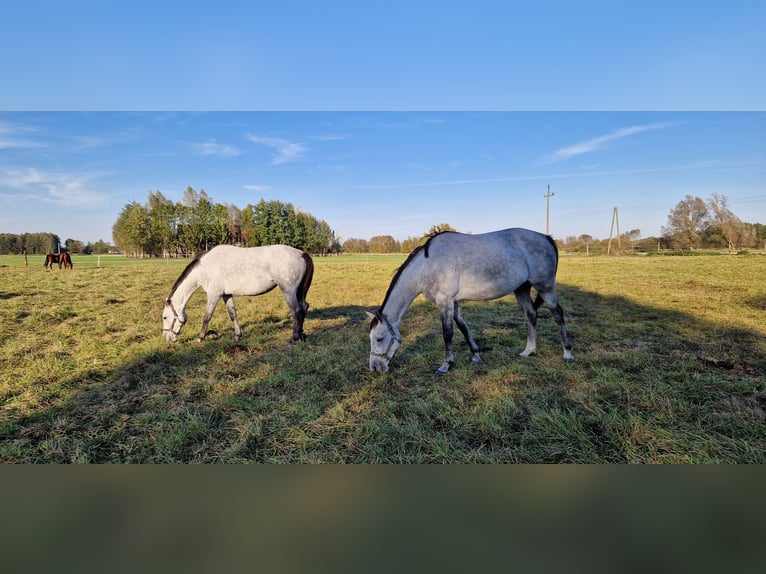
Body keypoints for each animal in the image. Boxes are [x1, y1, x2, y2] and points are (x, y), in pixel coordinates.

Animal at [165, 245, 316, 344]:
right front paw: (237, 336)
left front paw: (200, 338)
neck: (206, 267)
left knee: (297, 312)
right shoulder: (226, 294)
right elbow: (233, 315)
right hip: (298, 292)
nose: (167, 338)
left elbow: (207, 317)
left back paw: (294, 338)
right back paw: (301, 335)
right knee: (304, 308)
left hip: (288, 291)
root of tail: (301, 254)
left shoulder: (214, 295)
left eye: (165, 317)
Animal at [368, 230, 576, 378]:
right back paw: (528, 351)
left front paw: (445, 365)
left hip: (545, 287)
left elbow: (448, 334)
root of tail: (546, 238)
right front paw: (476, 356)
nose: (375, 368)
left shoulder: (445, 301)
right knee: (531, 315)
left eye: (379, 338)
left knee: (558, 315)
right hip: (522, 289)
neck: (427, 266)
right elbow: (464, 327)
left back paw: (567, 353)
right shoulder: (454, 302)